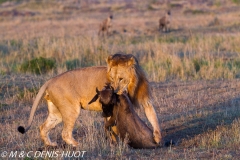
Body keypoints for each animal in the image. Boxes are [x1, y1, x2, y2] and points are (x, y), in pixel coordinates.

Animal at [17, 52, 161, 146]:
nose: (114, 91)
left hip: (56, 113)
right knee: (65, 133)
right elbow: (112, 127)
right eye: (111, 78)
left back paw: (51, 145)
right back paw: (77, 145)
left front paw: (157, 138)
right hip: (71, 109)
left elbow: (153, 116)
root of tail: (50, 80)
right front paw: (115, 143)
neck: (132, 86)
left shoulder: (145, 100)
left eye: (120, 79)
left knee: (43, 127)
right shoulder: (109, 107)